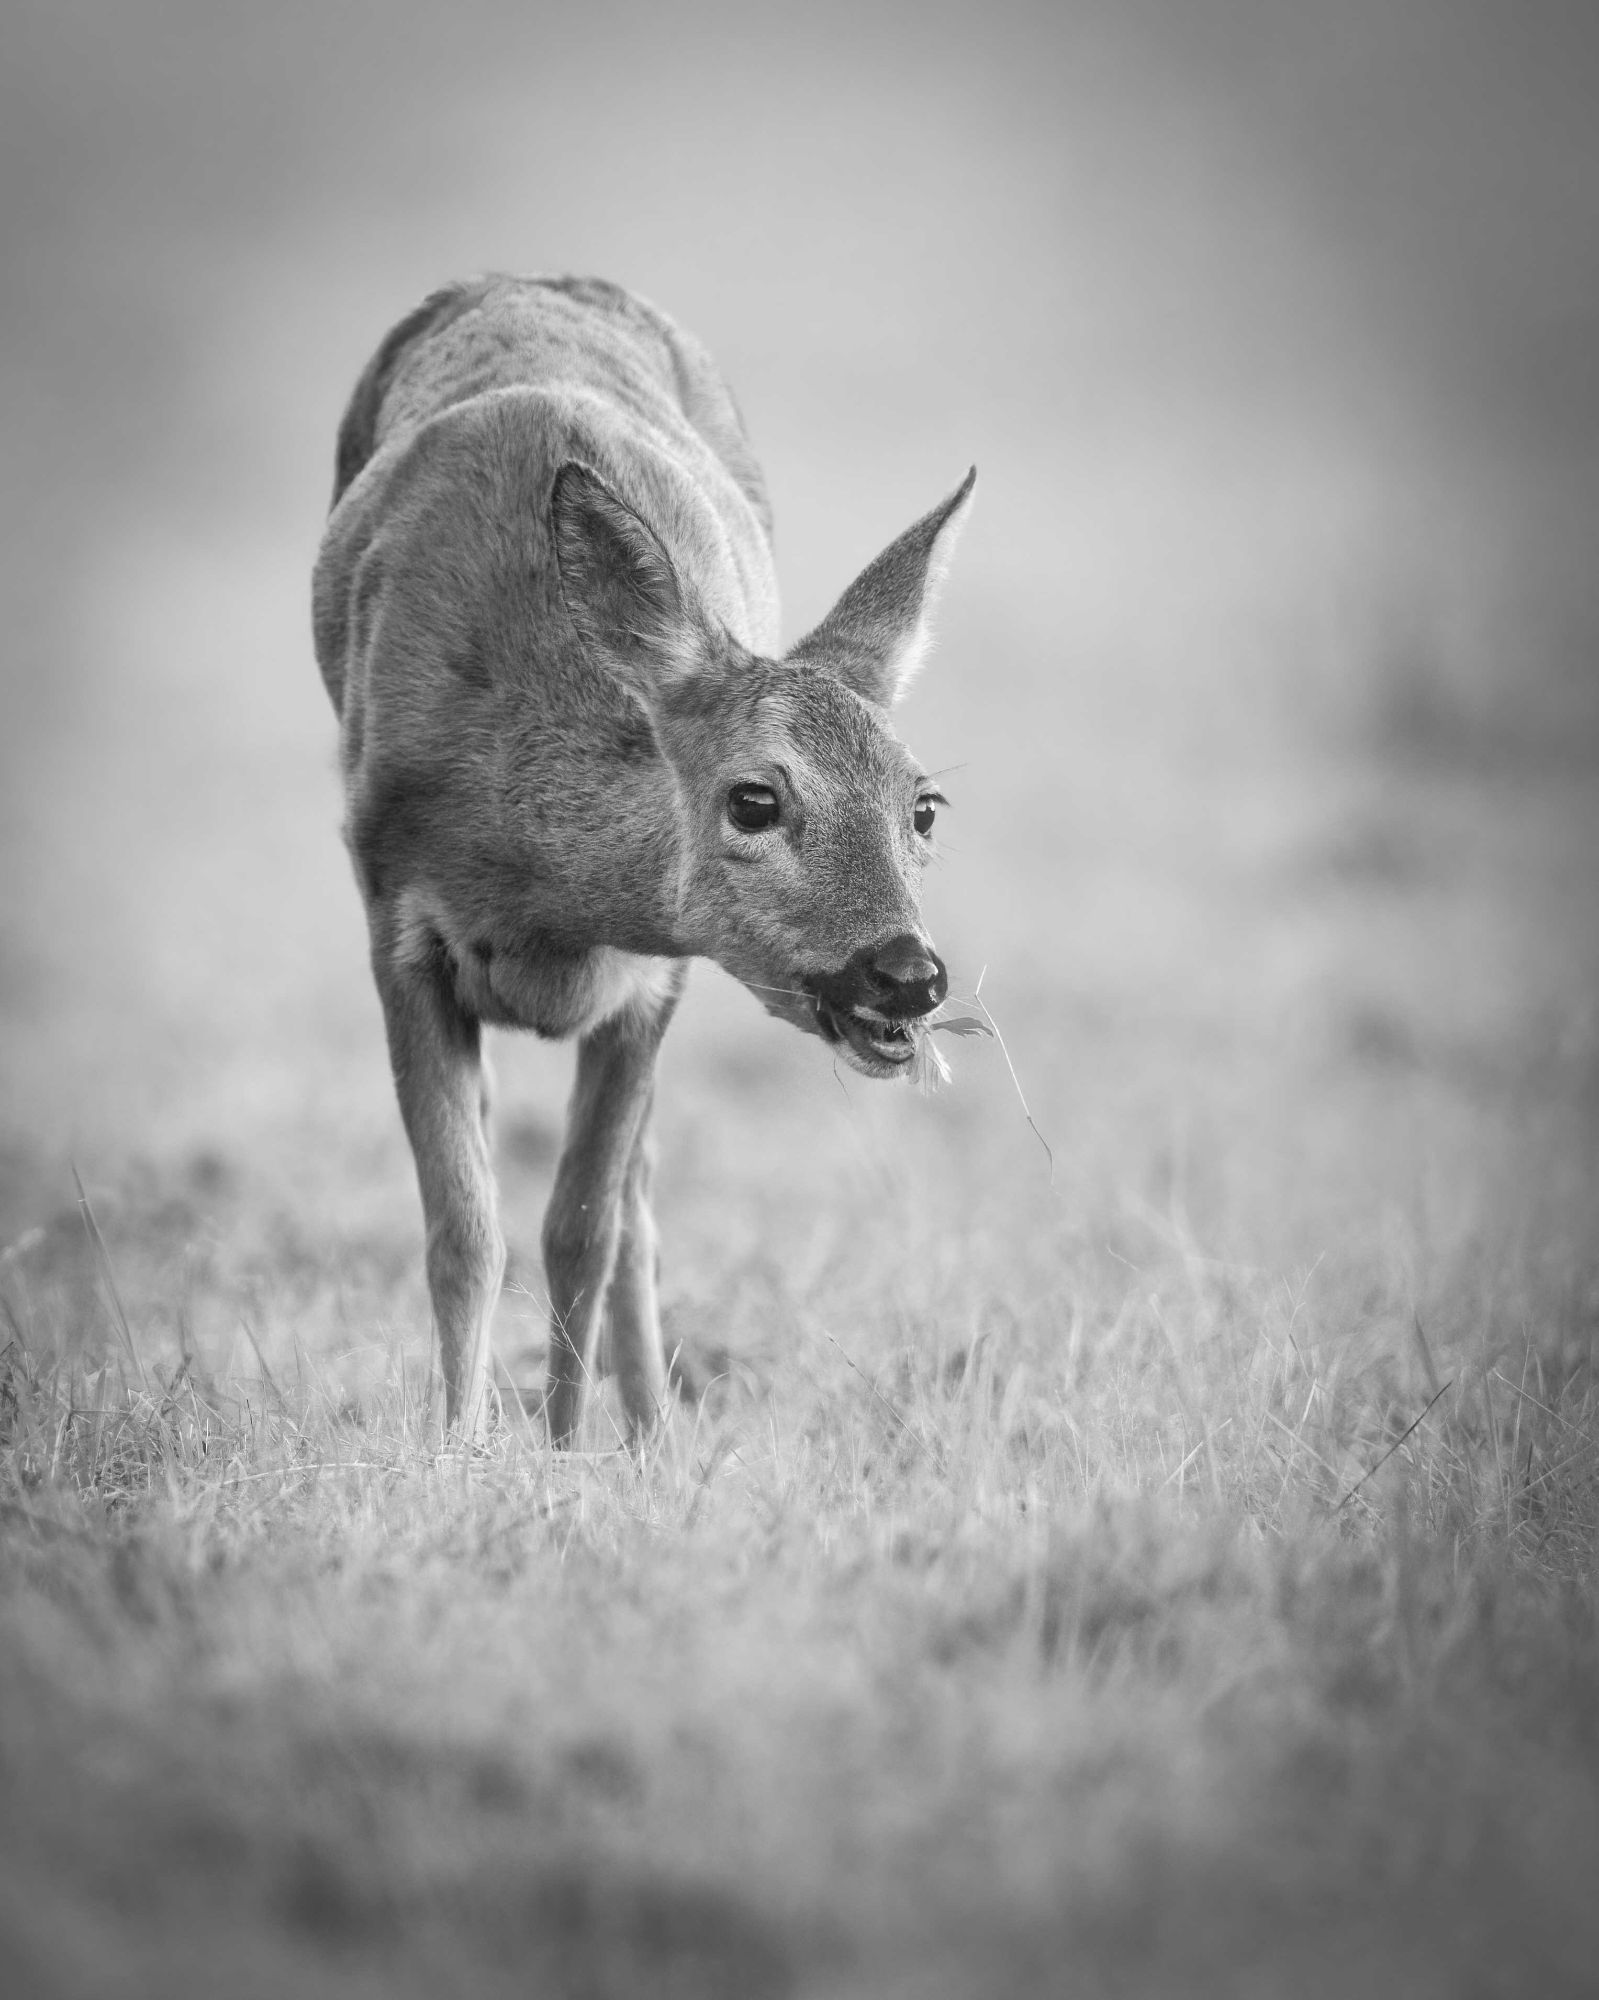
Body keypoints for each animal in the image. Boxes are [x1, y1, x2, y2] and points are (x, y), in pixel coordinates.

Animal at [305, 278, 967, 1440]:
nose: (907, 974)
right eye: (755, 799)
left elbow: (583, 1229)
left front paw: (568, 1448)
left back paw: (653, 1430)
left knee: (638, 1207)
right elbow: (464, 1231)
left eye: (923, 808)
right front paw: (458, 1450)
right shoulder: (397, 927)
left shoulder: (654, 977)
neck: (541, 899)